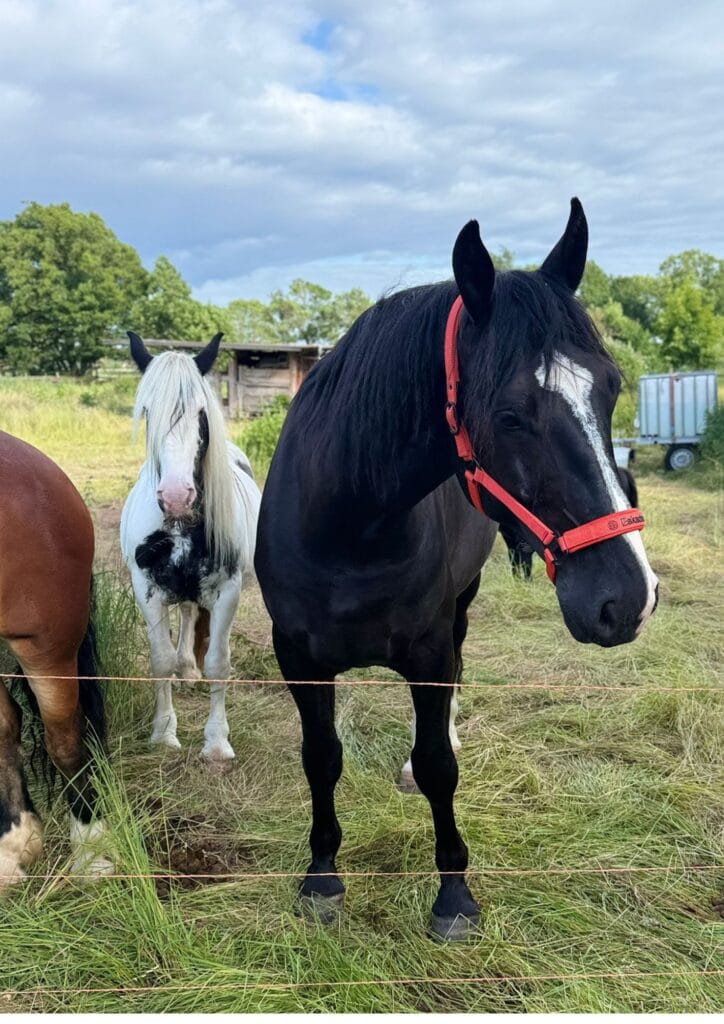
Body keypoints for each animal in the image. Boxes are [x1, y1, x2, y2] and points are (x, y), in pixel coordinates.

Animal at [120, 334, 261, 765]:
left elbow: (218, 662)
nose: (176, 497)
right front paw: (164, 733)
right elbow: (160, 658)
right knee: (184, 614)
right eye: (148, 411)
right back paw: (184, 670)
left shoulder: (227, 592)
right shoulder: (147, 590)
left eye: (201, 413)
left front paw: (216, 743)